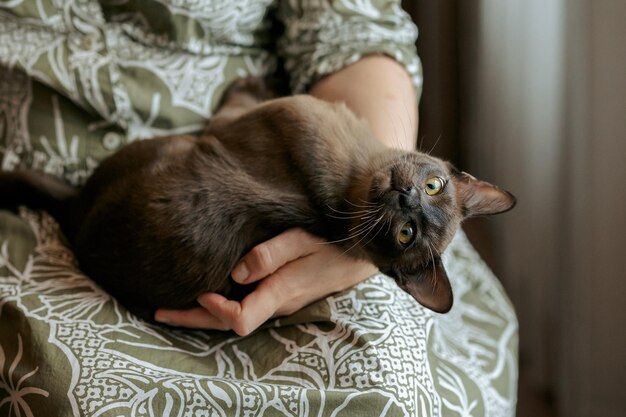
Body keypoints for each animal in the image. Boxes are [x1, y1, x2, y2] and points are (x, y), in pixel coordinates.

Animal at [0, 78, 516, 318]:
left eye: (406, 234)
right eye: (434, 187)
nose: (407, 196)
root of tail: (74, 214)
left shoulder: (237, 122)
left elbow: (237, 101)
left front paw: (246, 82)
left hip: (170, 146)